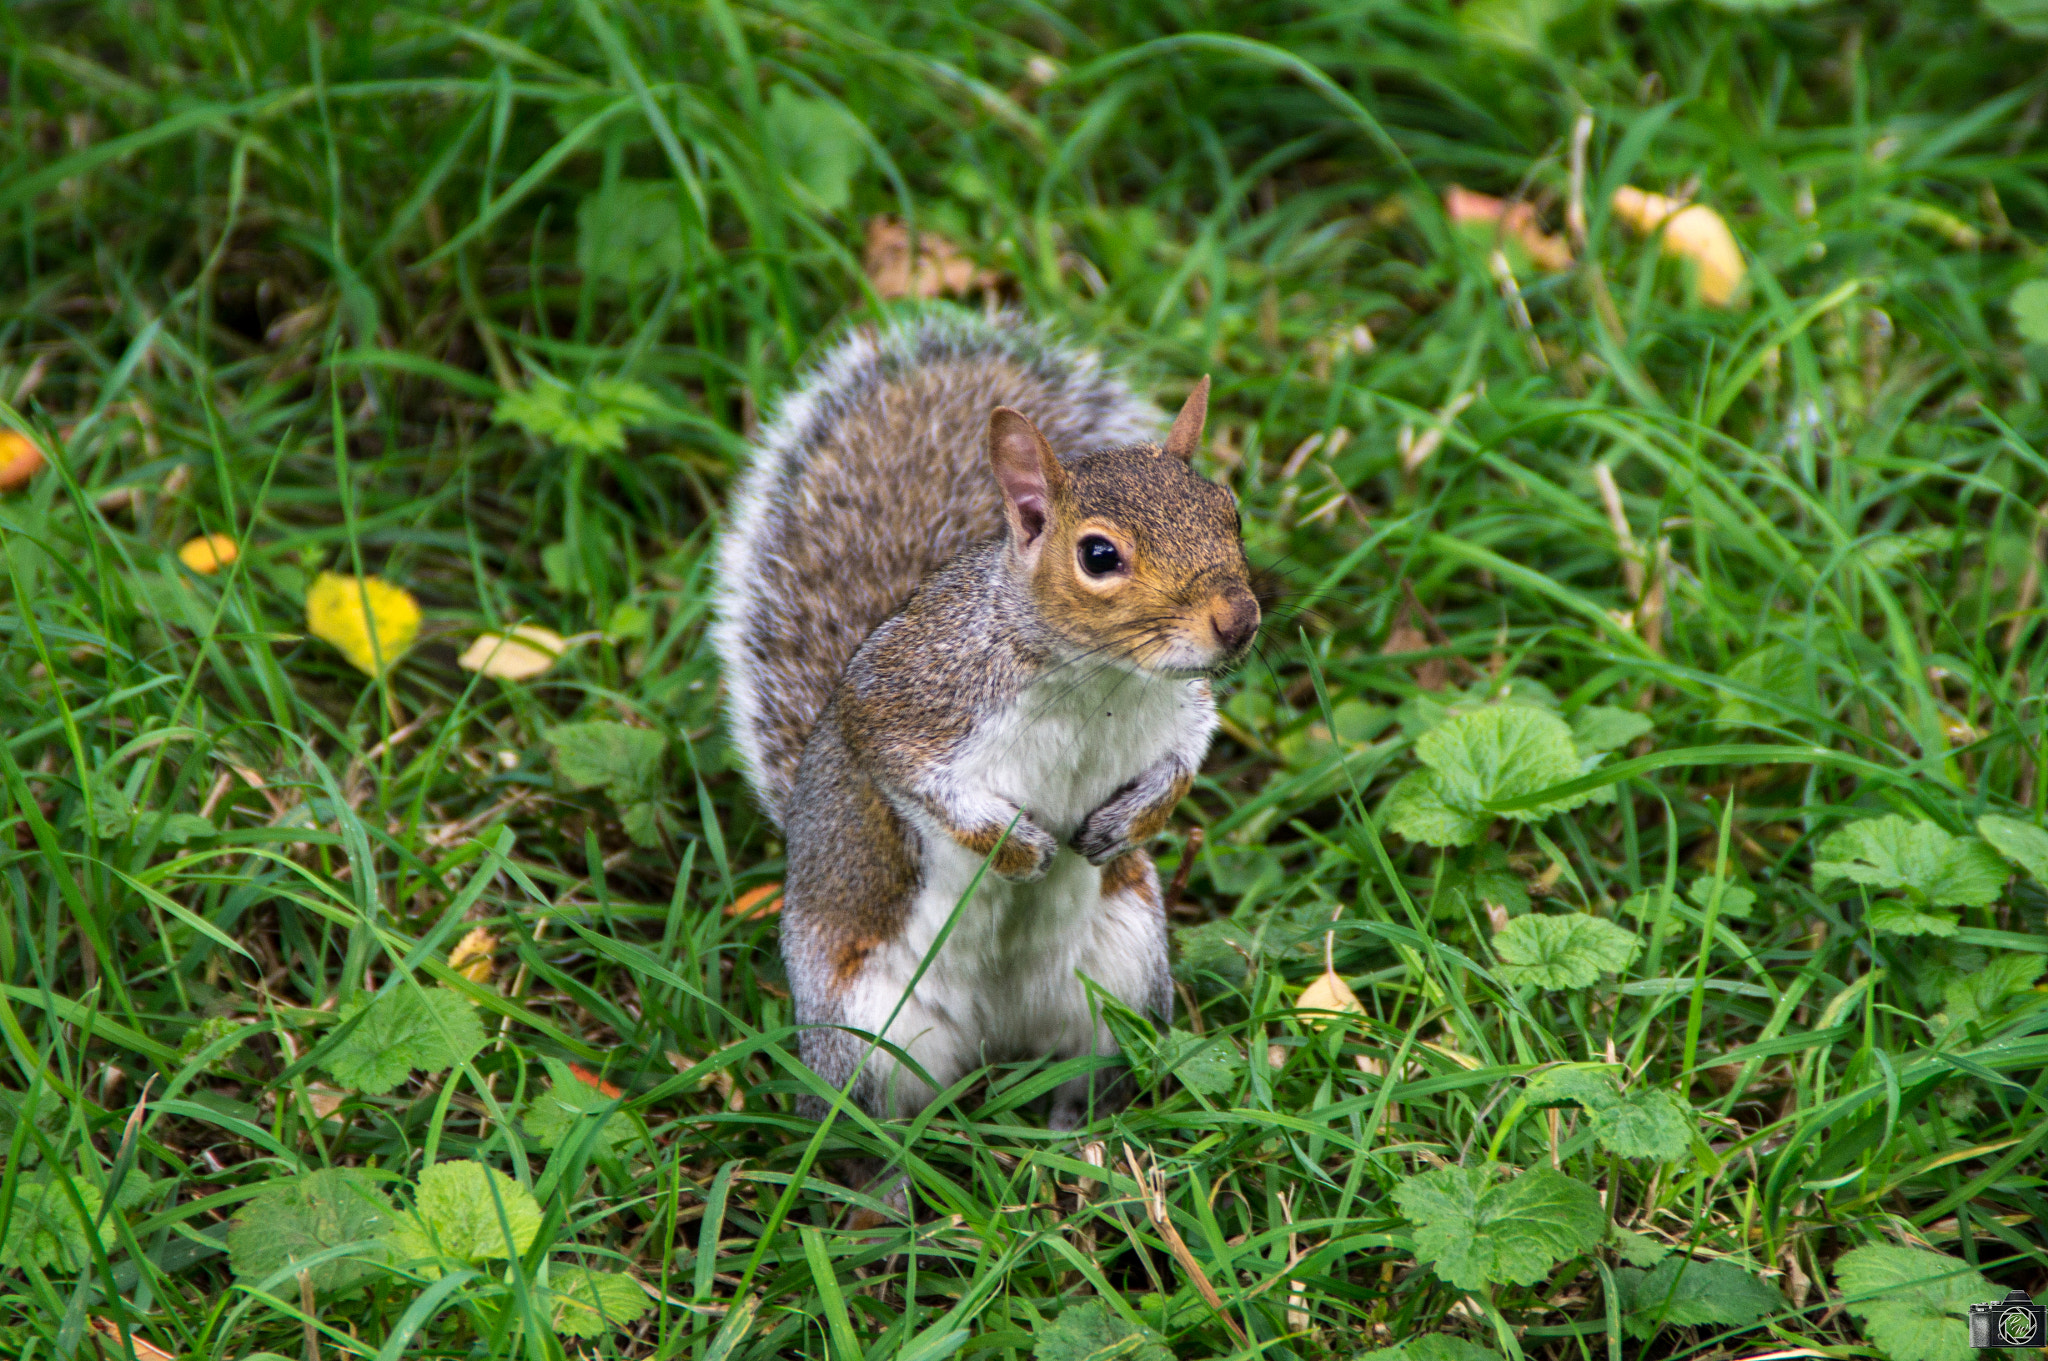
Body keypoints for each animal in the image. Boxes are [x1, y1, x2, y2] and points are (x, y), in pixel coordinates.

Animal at [720, 306, 1261, 1121]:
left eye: (1232, 512)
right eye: (1098, 555)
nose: (1240, 621)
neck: (1098, 681)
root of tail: (997, 1037)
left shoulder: (1181, 703)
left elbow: (1185, 755)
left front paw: (1128, 820)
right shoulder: (908, 696)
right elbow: (910, 770)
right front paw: (1017, 846)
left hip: (1126, 974)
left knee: (1090, 1071)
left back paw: (1083, 1135)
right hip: (862, 1030)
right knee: (873, 1123)